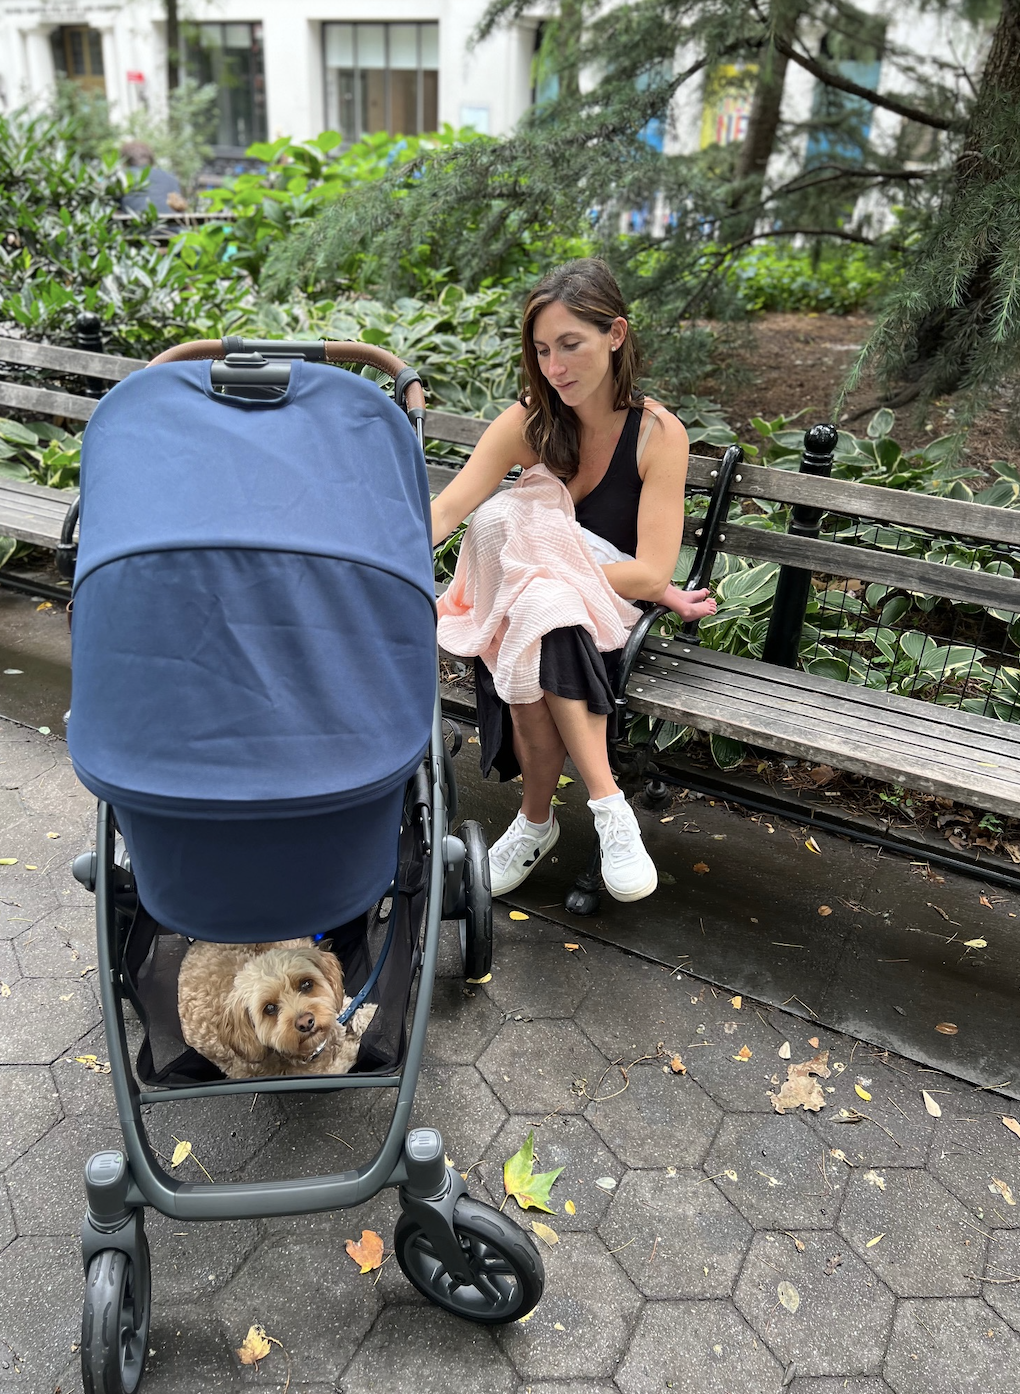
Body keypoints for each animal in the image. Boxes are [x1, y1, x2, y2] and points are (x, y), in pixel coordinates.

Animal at [178, 942, 379, 1081]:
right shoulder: (326, 1070)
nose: (306, 1022)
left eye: (306, 984)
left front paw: (370, 1015)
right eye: (269, 1008)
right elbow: (349, 1052)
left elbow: (346, 1004)